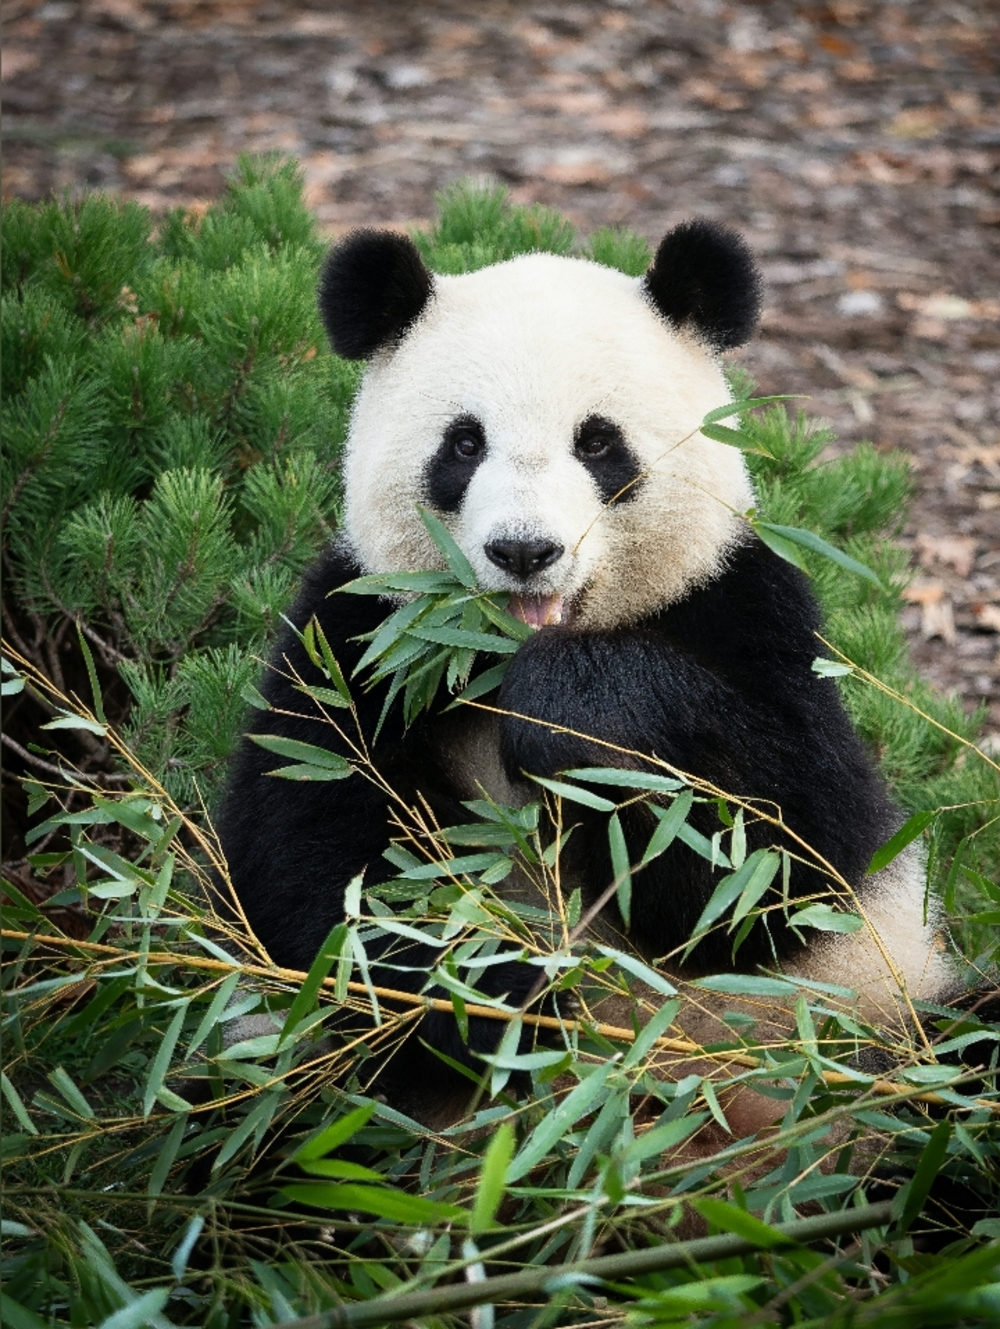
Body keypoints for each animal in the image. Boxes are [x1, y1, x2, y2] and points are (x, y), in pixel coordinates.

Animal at [216, 222, 956, 1125]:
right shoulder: (361, 637)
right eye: (465, 443)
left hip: (878, 1018)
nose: (524, 550)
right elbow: (313, 855)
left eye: (597, 441)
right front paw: (493, 999)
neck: (496, 654)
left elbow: (782, 855)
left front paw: (564, 711)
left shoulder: (746, 607)